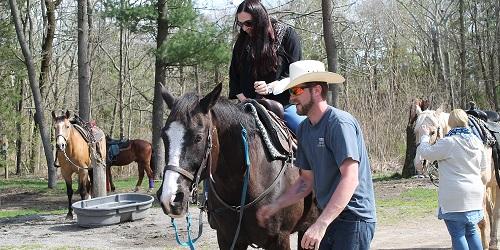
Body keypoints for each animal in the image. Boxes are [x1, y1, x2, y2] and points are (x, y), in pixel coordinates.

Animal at [412, 103, 498, 248]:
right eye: (415, 132)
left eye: (433, 132)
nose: (419, 163)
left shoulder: (481, 186)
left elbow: (481, 220)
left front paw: (484, 246)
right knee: (492, 209)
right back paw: (492, 241)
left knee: (496, 211)